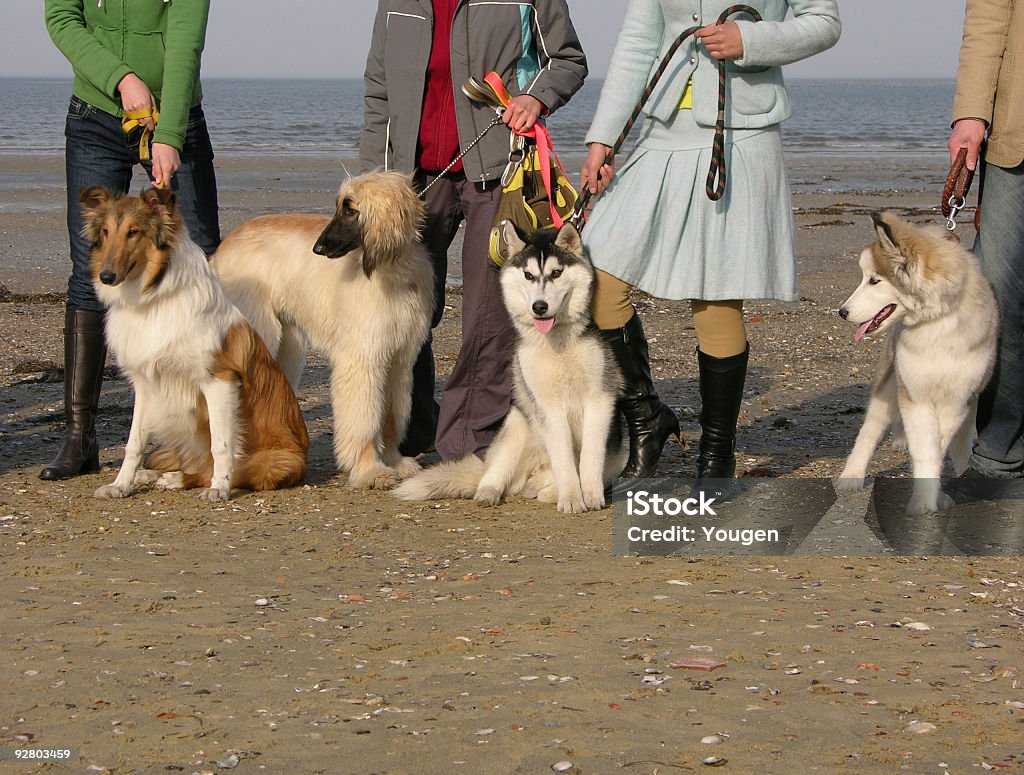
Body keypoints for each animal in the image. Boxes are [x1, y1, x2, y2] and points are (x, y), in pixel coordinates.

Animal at [395, 222, 622, 513]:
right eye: (528, 275)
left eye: (556, 273)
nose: (539, 307)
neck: (558, 344)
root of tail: (528, 478)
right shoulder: (547, 406)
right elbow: (563, 459)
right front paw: (572, 497)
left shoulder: (599, 398)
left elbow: (591, 455)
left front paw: (590, 495)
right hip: (516, 425)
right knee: (495, 472)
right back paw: (489, 491)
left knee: (543, 485)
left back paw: (548, 491)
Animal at [835, 209, 995, 513]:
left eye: (874, 280)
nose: (842, 312)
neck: (936, 326)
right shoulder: (913, 394)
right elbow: (925, 447)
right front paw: (923, 502)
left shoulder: (957, 399)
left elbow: (938, 445)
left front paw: (933, 496)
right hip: (887, 385)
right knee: (870, 431)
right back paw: (852, 475)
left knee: (960, 443)